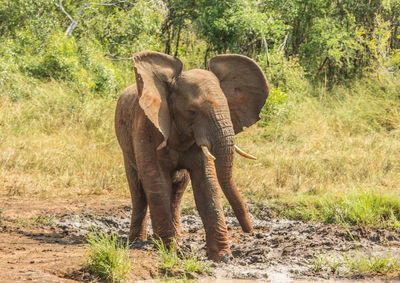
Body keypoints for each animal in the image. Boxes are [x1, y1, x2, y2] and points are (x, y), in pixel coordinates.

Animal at [115, 50, 268, 262]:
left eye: (228, 108)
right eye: (192, 111)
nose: (250, 230)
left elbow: (207, 184)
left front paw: (223, 257)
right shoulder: (147, 127)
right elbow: (157, 183)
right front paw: (169, 252)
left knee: (178, 191)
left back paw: (174, 240)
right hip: (126, 147)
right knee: (138, 191)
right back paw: (138, 242)